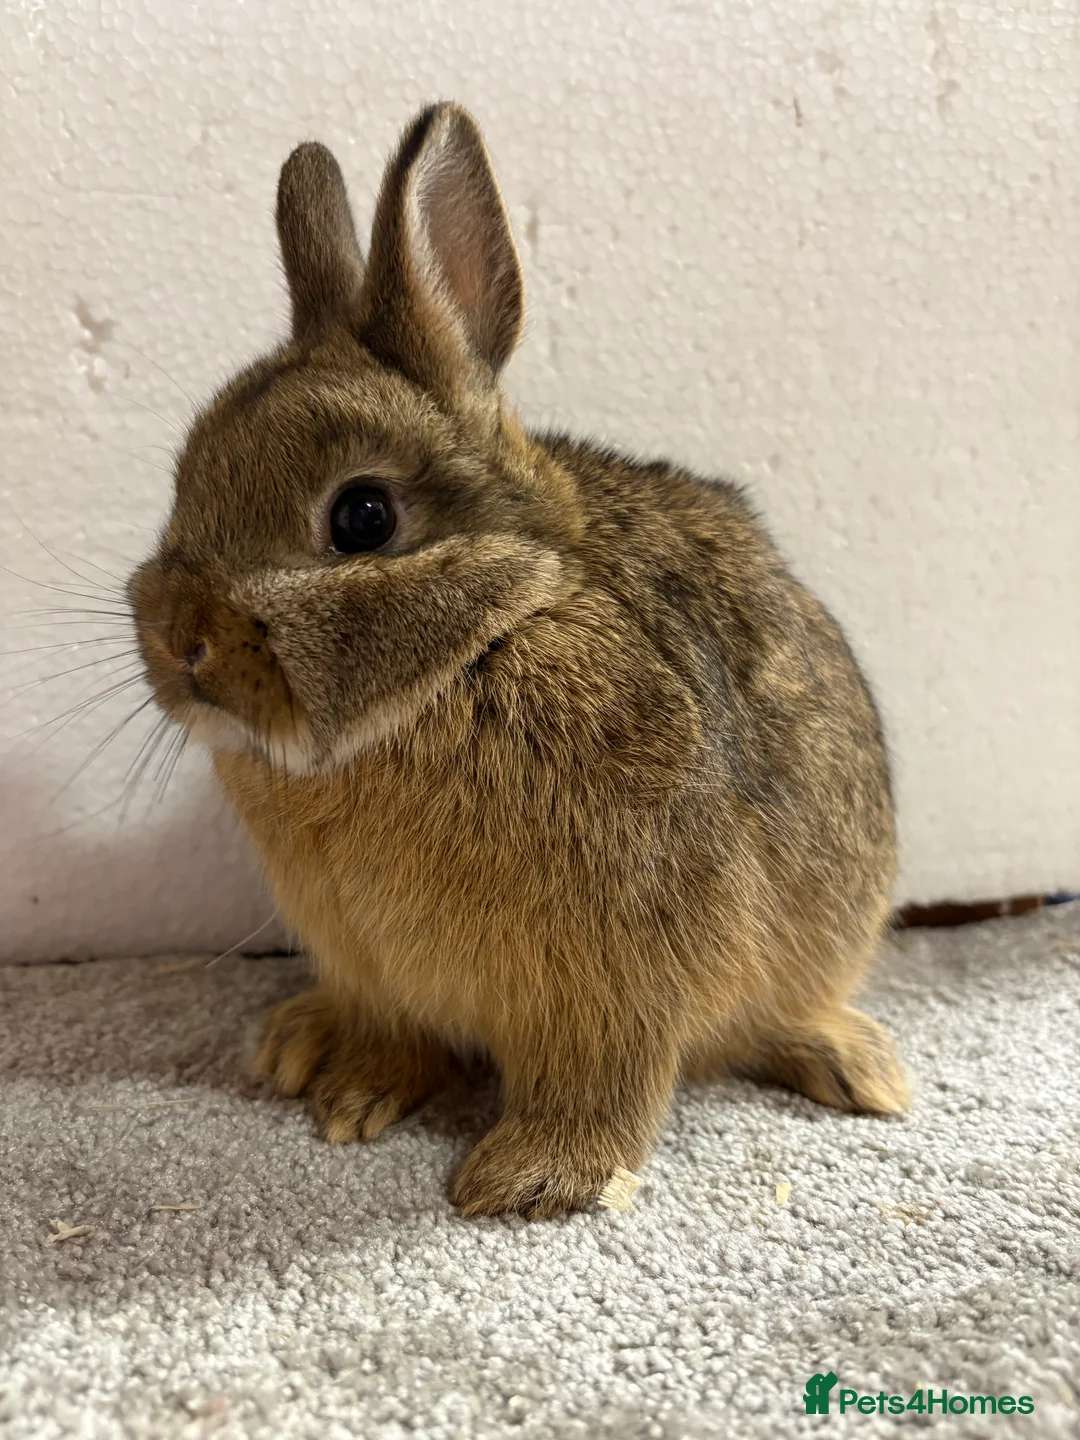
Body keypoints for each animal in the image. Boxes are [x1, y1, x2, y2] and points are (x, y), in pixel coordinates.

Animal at [128, 101, 909, 1220]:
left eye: (362, 517)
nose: (174, 639)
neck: (480, 643)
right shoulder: (375, 969)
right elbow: (396, 1036)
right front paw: (352, 1094)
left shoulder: (622, 978)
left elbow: (604, 1079)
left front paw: (532, 1180)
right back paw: (296, 1043)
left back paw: (862, 1070)